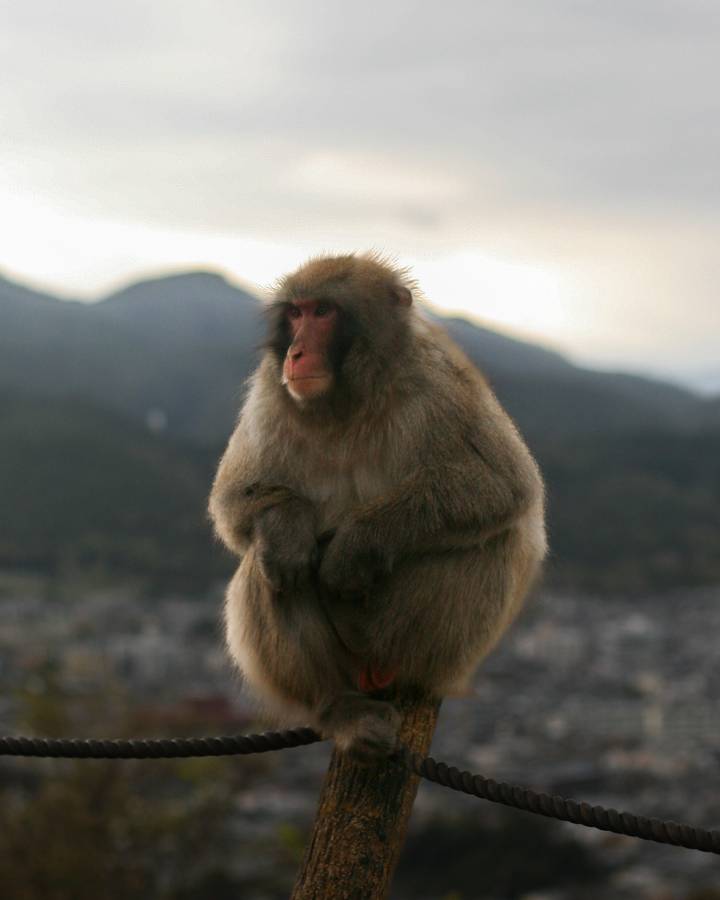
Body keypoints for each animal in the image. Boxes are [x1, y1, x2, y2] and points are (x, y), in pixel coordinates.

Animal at [209, 253, 546, 761]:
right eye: (296, 314)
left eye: (323, 311)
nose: (296, 353)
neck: (350, 400)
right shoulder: (271, 391)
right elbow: (235, 497)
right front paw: (288, 528)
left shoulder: (440, 381)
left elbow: (503, 482)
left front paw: (356, 545)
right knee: (267, 565)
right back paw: (337, 707)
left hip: (410, 642)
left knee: (499, 536)